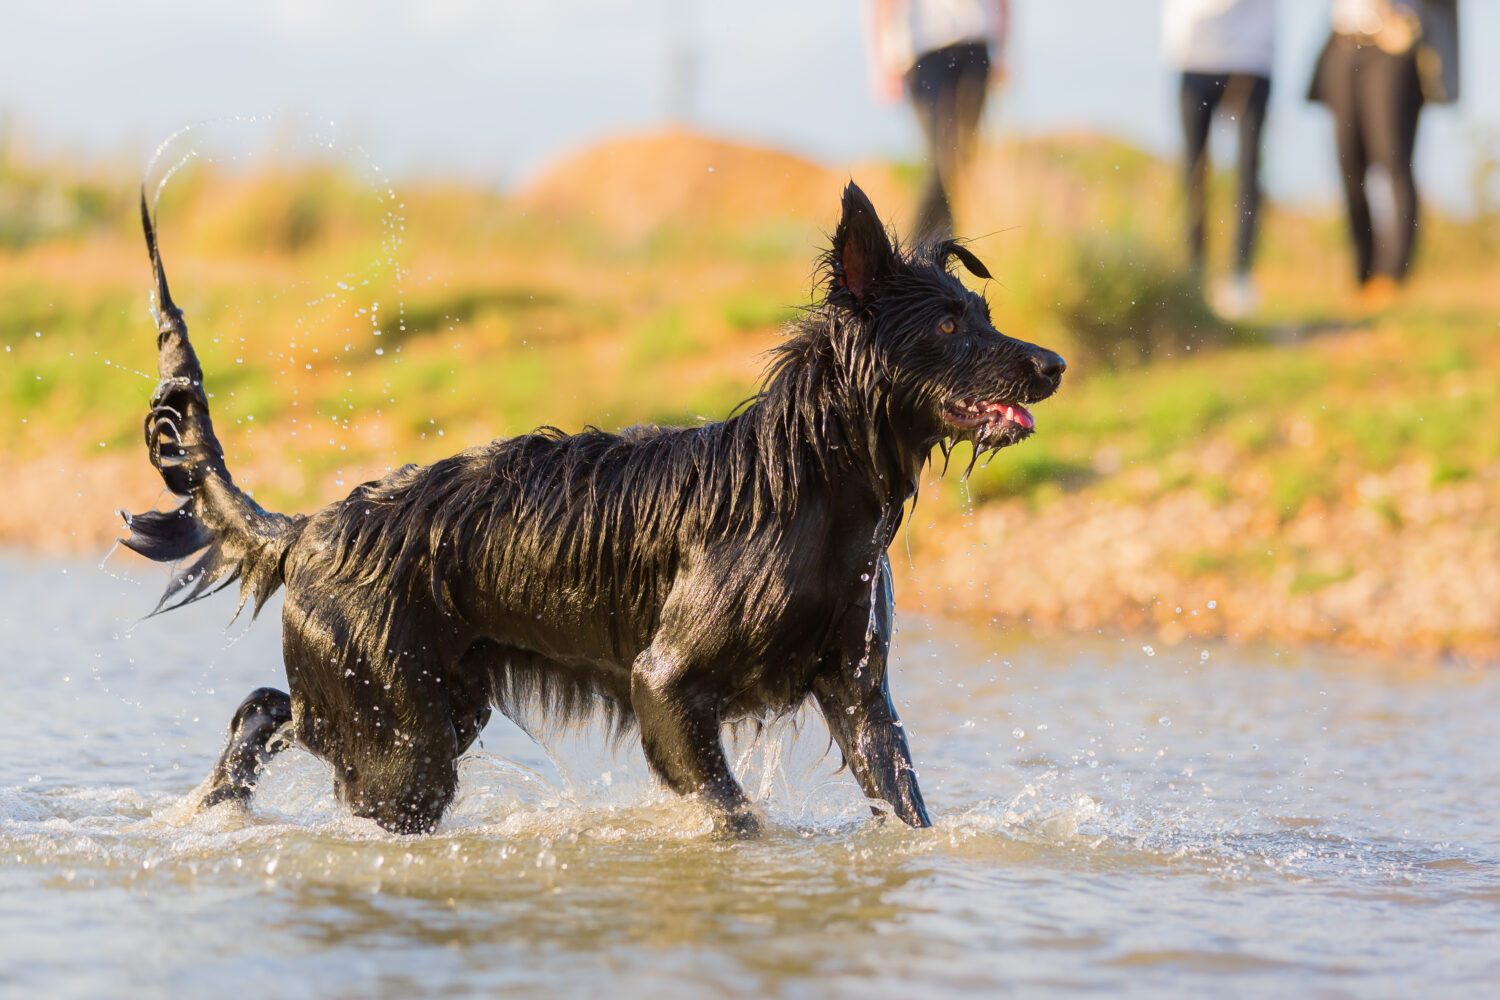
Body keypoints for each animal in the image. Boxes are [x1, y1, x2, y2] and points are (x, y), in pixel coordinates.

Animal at [123, 182, 1062, 839]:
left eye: (982, 312)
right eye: (949, 325)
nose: (1052, 364)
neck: (815, 486)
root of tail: (312, 529)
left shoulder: (859, 690)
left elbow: (903, 803)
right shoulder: (665, 683)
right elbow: (735, 815)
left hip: (427, 703)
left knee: (269, 707)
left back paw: (212, 805)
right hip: (403, 740)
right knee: (292, 724)